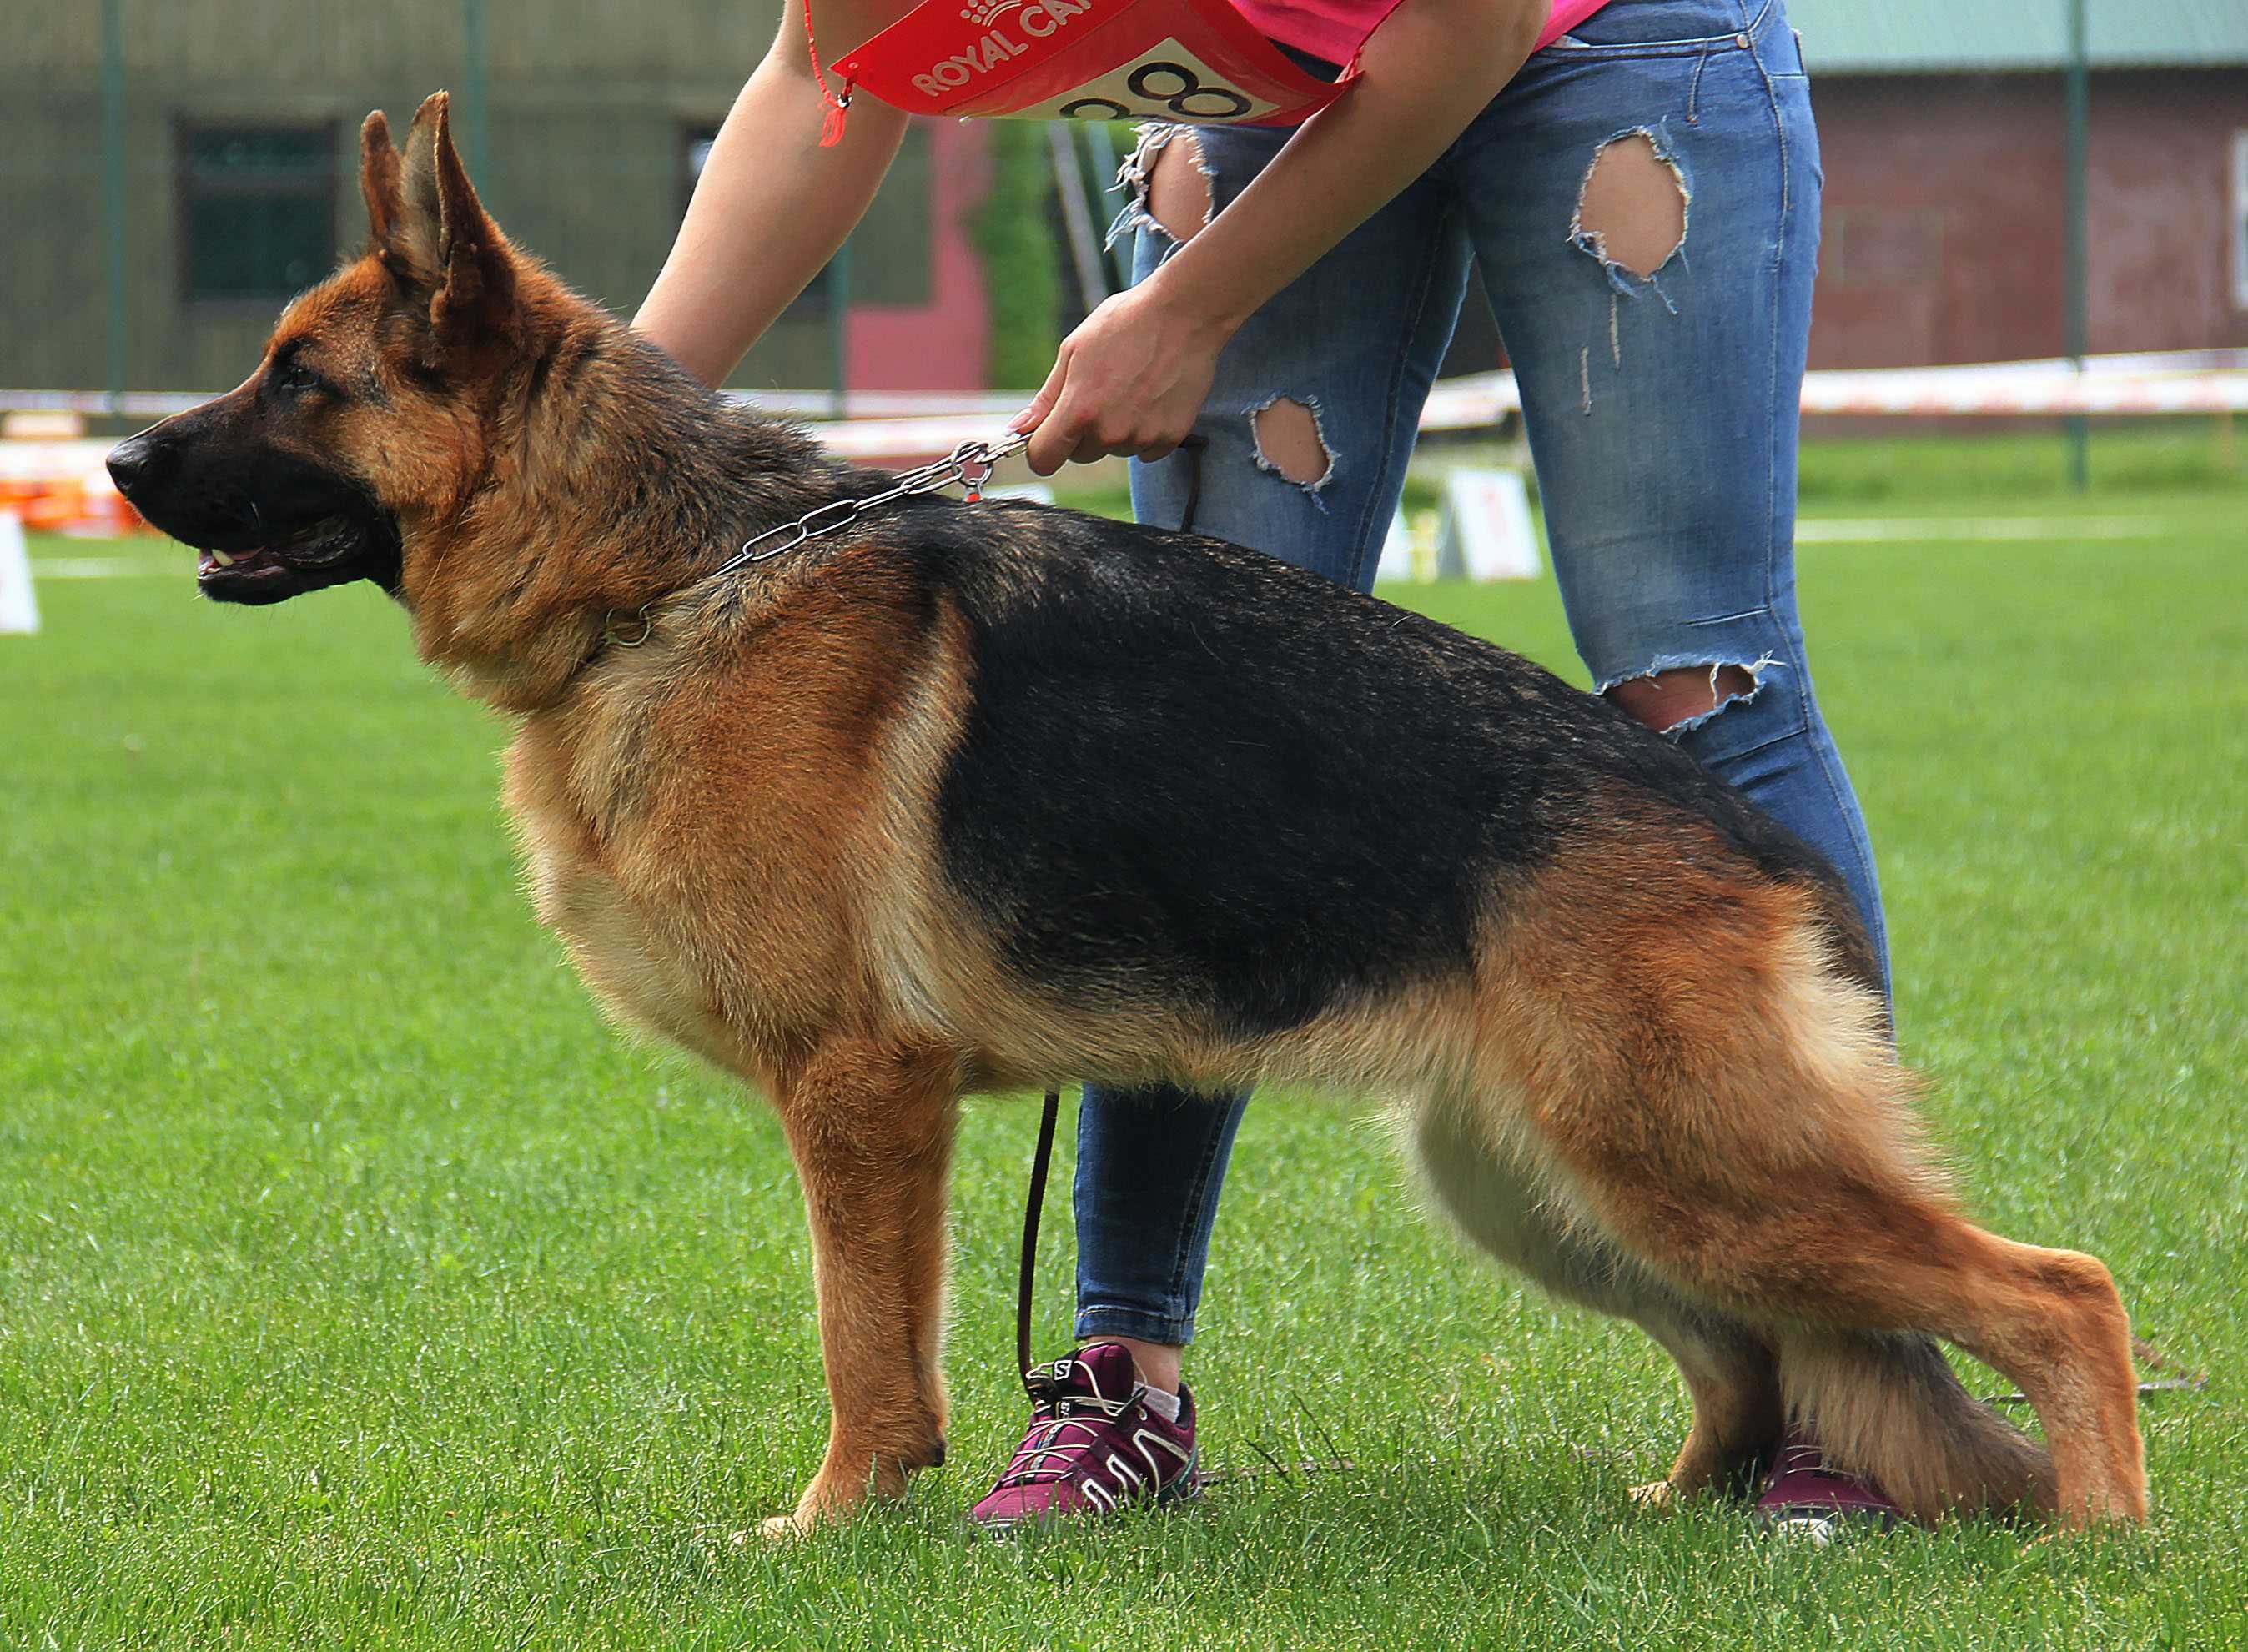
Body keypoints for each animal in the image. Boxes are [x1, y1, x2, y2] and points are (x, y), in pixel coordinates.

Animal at [109, 93, 2140, 1537]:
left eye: (301, 378)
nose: (114, 458)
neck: (668, 578)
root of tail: (1751, 840)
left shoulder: (862, 1092)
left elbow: (864, 1351)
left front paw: (830, 1529)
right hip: (1549, 1185)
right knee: (1750, 1361)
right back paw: (1682, 1509)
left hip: (1688, 1163)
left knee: (2061, 1292)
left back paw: (2096, 1539)